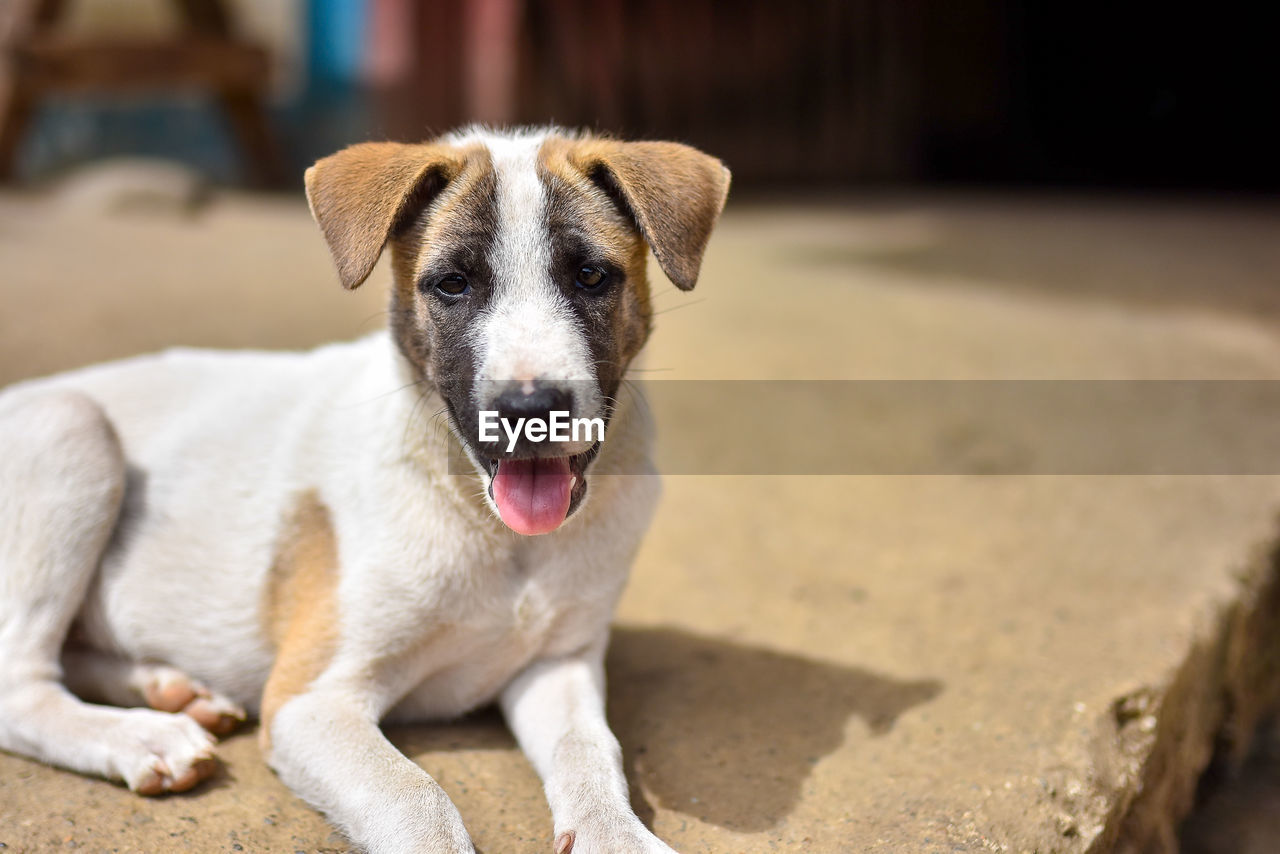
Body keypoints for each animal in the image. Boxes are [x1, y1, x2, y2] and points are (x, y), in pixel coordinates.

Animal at [0, 126, 732, 854]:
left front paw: (619, 834)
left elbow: (590, 752)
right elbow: (416, 799)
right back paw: (141, 735)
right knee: (21, 686)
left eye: (591, 276)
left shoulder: (559, 663)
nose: (531, 409)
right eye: (452, 284)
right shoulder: (311, 699)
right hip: (72, 427)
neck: (488, 525)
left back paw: (168, 688)